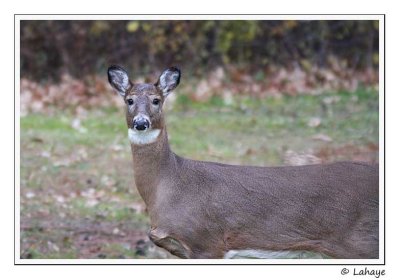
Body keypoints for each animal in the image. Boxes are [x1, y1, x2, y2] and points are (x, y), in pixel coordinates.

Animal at [106, 64, 378, 260]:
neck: (169, 185)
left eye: (156, 100)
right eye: (129, 100)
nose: (141, 123)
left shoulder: (207, 241)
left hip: (360, 240)